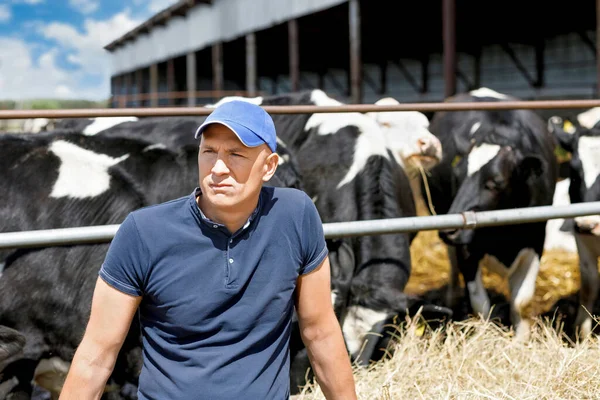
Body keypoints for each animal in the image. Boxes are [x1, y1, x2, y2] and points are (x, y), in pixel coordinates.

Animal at [426, 86, 556, 338]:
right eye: (457, 175)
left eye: (495, 183)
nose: (449, 229)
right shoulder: (467, 248)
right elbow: (480, 304)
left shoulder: (536, 240)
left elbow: (522, 303)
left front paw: (521, 341)